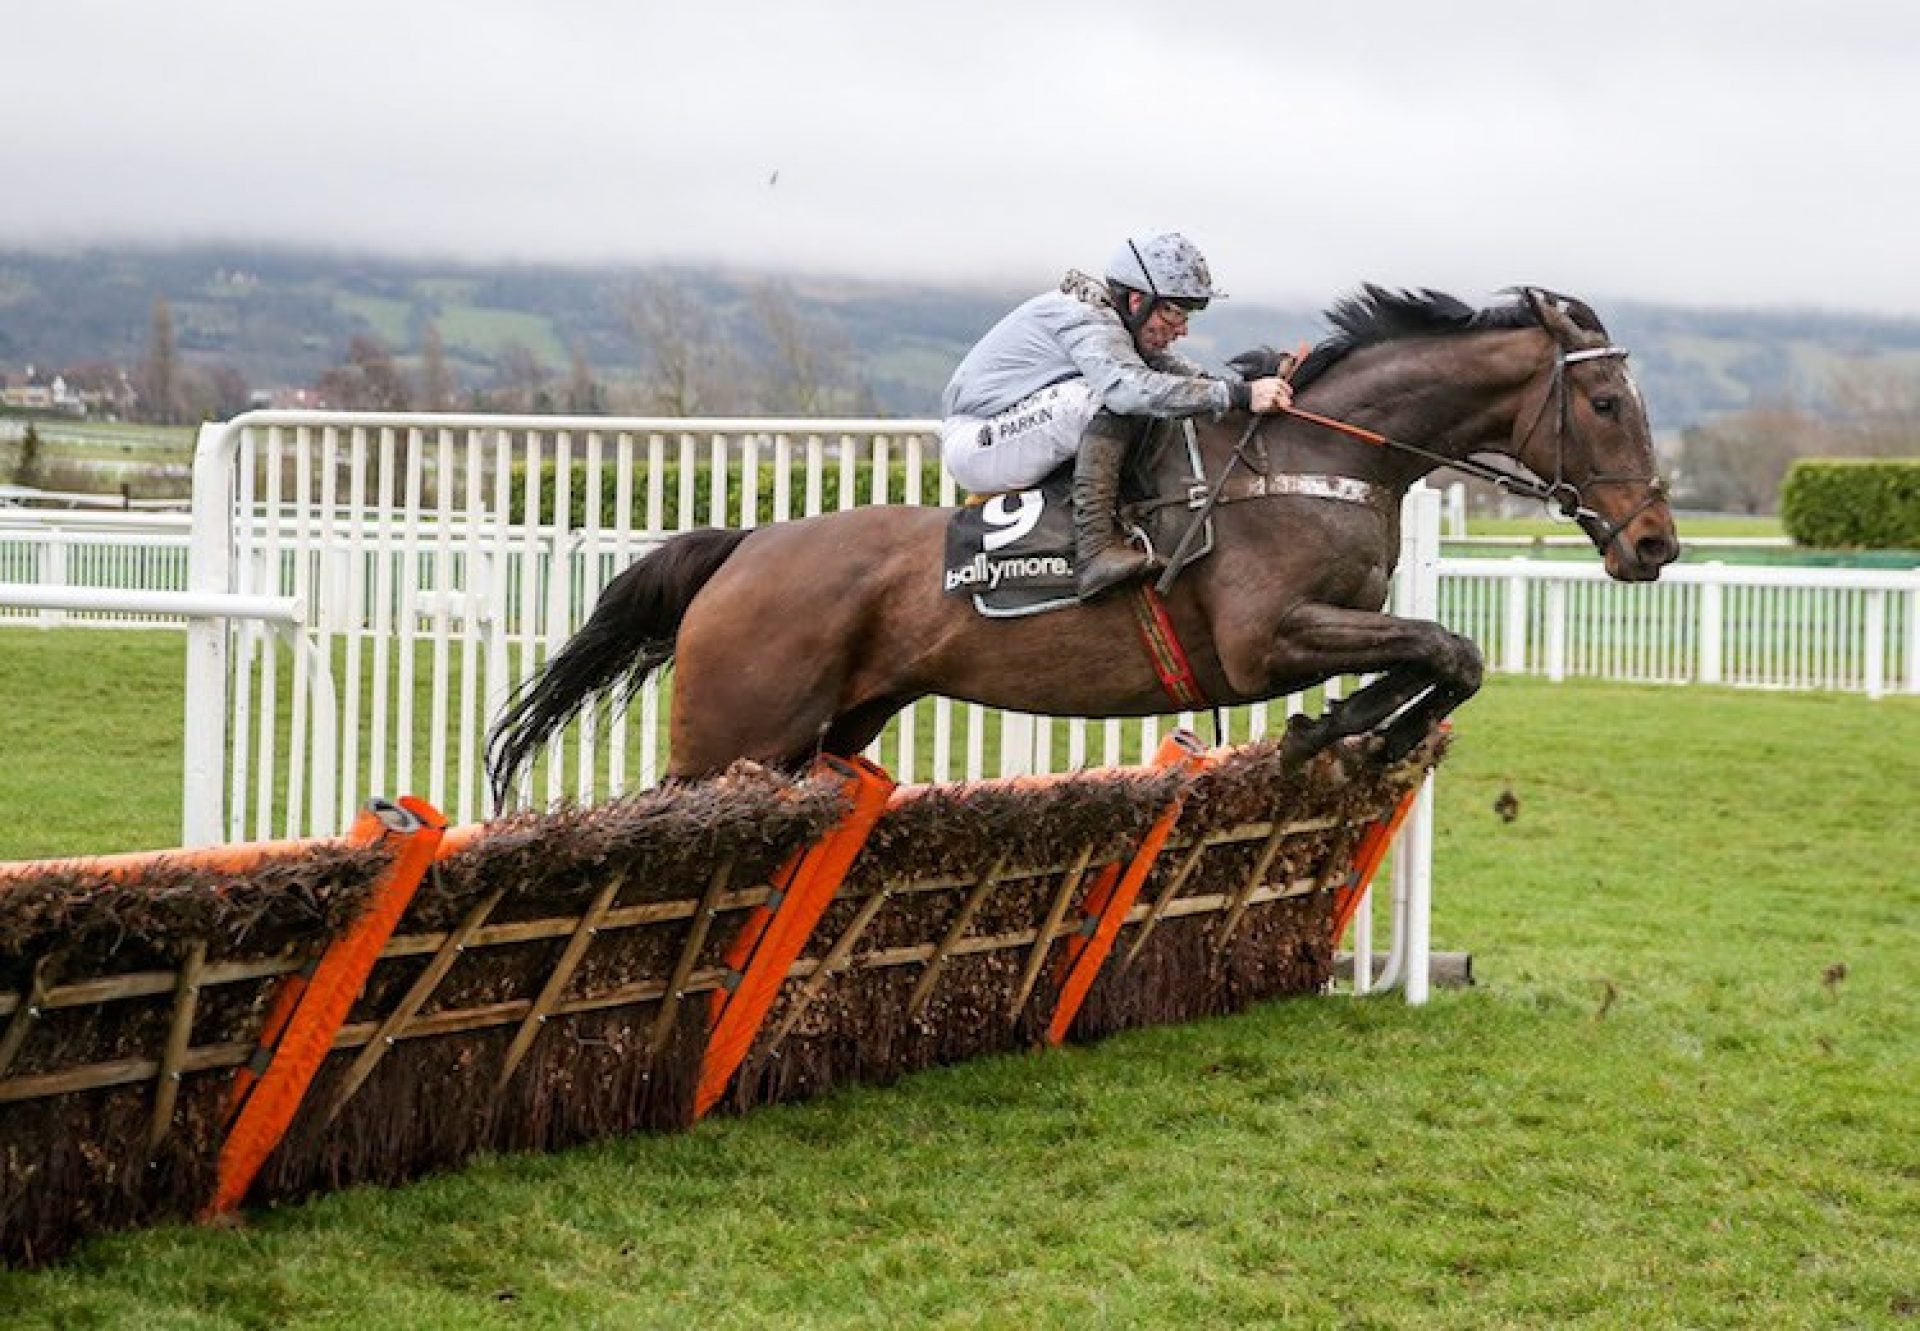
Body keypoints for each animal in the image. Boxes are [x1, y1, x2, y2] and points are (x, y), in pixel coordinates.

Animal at [483, 282, 1681, 798]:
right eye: (1607, 402)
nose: (1656, 544)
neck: (1312, 452)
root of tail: (741, 550)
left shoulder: (1340, 618)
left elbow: (1447, 655)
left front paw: (1347, 733)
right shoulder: (1262, 640)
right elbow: (1443, 645)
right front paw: (1335, 734)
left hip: (833, 725)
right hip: (731, 731)